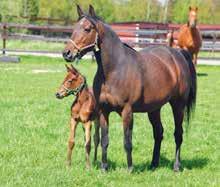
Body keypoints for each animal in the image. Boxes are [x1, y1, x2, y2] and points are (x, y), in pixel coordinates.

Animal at [62, 5, 197, 172]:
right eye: (74, 28)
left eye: (87, 29)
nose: (67, 53)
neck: (114, 70)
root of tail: (178, 54)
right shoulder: (103, 111)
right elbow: (104, 140)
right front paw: (104, 167)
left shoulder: (127, 111)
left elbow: (127, 141)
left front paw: (130, 169)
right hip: (154, 109)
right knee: (158, 133)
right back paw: (153, 164)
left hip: (178, 105)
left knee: (178, 134)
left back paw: (176, 166)